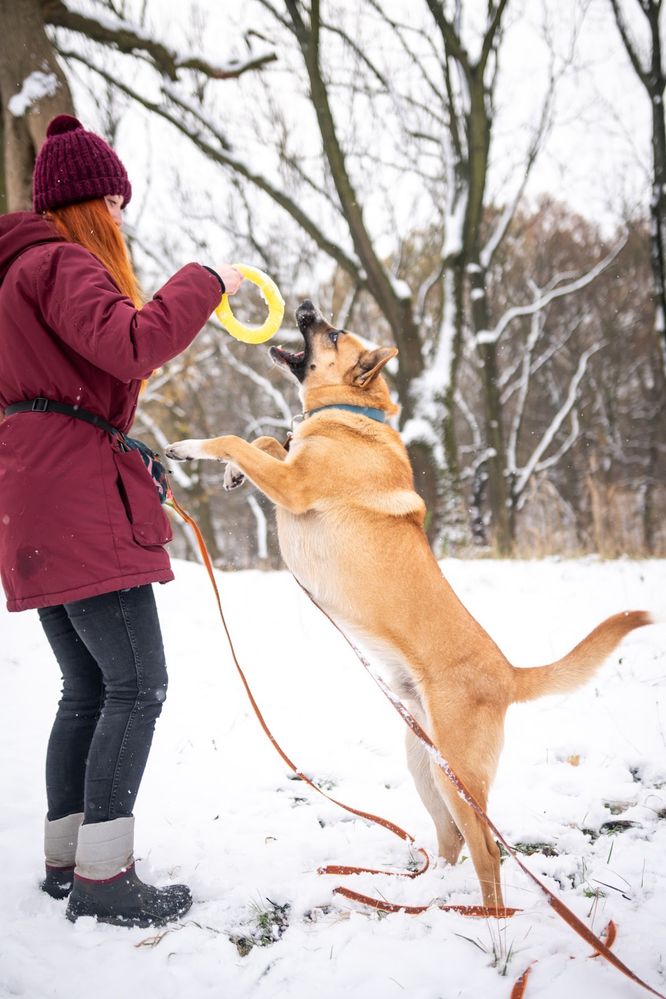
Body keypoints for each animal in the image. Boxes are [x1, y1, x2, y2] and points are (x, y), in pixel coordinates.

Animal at [165, 300, 648, 912]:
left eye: (333, 333)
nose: (305, 306)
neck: (351, 415)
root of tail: (508, 673)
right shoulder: (289, 472)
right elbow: (268, 440)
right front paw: (234, 469)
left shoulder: (295, 488)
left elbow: (238, 438)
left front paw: (195, 449)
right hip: (425, 767)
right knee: (451, 842)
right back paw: (427, 896)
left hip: (458, 776)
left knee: (487, 851)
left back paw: (486, 918)